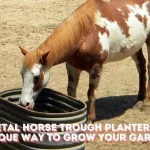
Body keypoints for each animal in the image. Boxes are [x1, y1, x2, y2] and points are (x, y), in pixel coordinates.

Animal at [19, 0, 150, 121]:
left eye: (37, 76)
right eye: (21, 74)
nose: (24, 103)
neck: (85, 34)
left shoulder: (96, 68)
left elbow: (91, 93)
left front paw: (90, 119)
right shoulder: (72, 67)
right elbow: (71, 92)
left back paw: (146, 104)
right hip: (135, 47)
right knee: (141, 66)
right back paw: (139, 101)